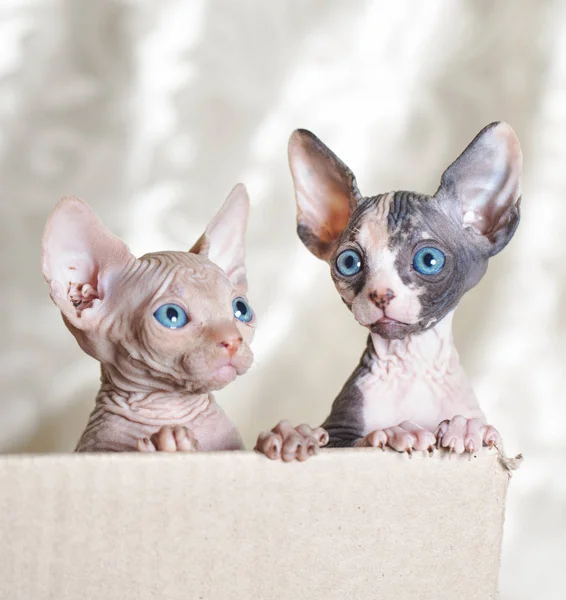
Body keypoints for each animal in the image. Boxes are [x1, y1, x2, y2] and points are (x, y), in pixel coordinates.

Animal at [42, 185, 278, 452]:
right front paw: (174, 446)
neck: (172, 410)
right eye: (171, 316)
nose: (233, 340)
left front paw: (287, 439)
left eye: (241, 309)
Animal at [258, 120, 524, 460]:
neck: (412, 363)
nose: (380, 294)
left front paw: (466, 429)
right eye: (348, 262)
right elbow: (354, 441)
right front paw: (395, 432)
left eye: (429, 260)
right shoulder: (337, 432)